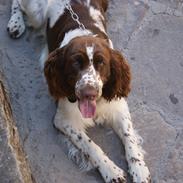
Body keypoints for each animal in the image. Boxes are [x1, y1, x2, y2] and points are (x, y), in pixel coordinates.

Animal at [7, 0, 152, 183]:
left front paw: (139, 169)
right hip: (35, 12)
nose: (88, 93)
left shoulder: (117, 107)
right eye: (76, 63)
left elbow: (129, 137)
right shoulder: (64, 119)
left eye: (101, 62)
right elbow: (90, 146)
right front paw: (111, 171)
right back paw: (15, 23)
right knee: (17, 4)